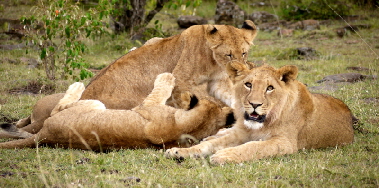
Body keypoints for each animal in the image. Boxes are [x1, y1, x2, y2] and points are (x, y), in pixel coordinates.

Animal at [0, 72, 236, 151]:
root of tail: (44, 135)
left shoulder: (146, 105)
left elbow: (159, 89)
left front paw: (167, 76)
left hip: (94, 105)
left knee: (59, 107)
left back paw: (77, 85)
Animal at [2, 20, 258, 138]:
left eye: (244, 53)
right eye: (229, 54)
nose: (239, 66)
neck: (213, 60)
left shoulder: (215, 81)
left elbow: (228, 95)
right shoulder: (182, 78)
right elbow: (199, 100)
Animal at [165, 61, 354, 164]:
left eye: (269, 88)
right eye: (248, 84)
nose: (254, 104)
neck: (261, 125)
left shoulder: (285, 142)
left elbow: (253, 146)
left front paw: (225, 155)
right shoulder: (240, 133)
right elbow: (208, 145)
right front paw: (179, 152)